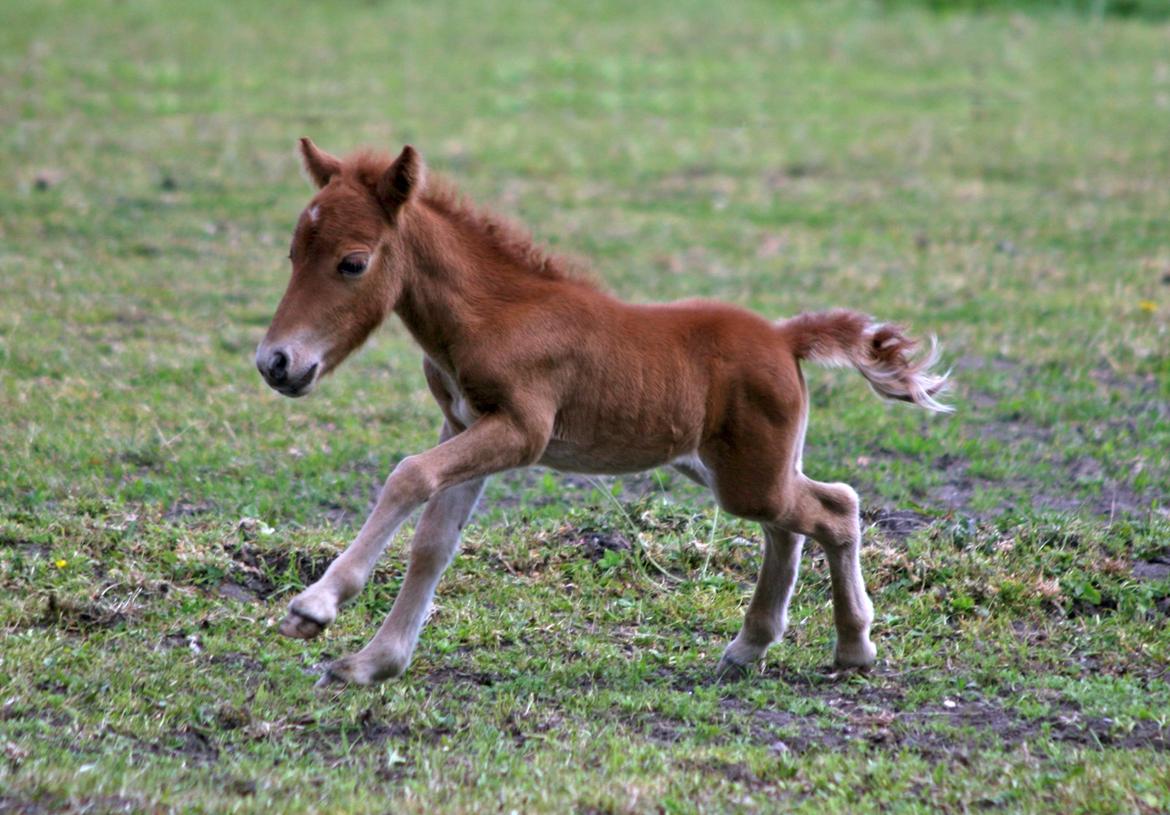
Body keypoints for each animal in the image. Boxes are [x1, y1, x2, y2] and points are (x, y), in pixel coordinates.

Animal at [255, 139, 951, 687]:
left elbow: (409, 475)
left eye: (353, 262)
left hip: (747, 475)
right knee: (801, 518)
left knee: (832, 509)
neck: (494, 313)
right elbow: (434, 544)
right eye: (292, 254)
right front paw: (373, 663)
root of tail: (784, 337)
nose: (276, 363)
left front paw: (315, 608)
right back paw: (751, 647)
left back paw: (852, 648)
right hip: (726, 467)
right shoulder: (465, 424)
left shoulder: (520, 431)